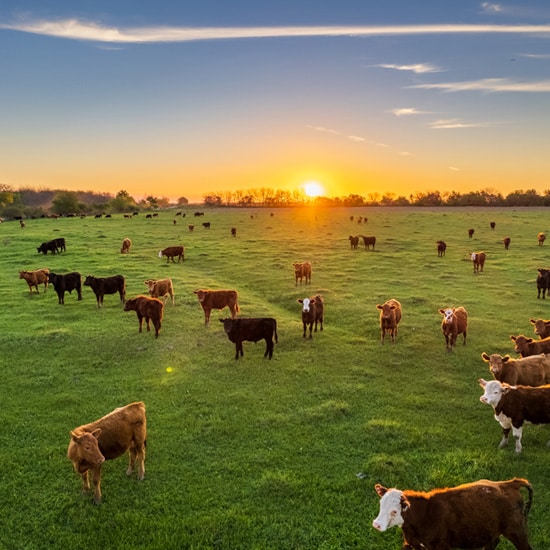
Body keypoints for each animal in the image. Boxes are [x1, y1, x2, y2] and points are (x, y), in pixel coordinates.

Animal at [374, 478, 532, 550]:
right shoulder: (411, 544)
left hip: (517, 531)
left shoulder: (441, 546)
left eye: (394, 511)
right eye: (381, 504)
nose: (376, 524)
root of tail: (509, 483)